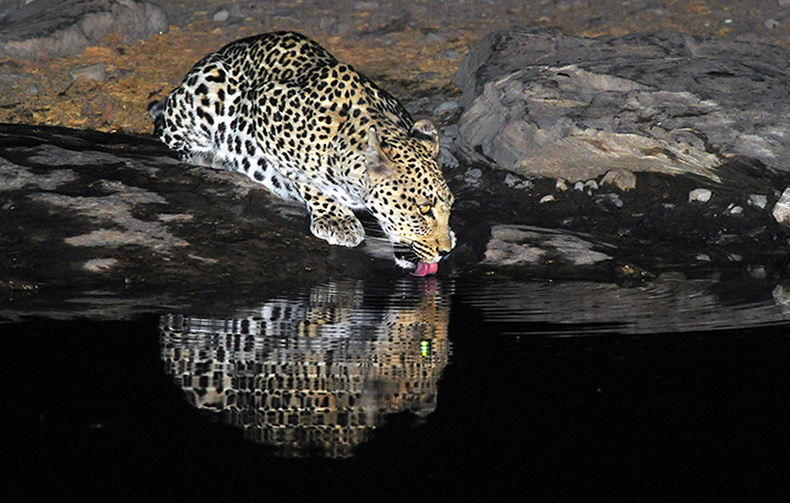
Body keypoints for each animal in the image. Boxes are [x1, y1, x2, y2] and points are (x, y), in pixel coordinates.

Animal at [149, 31, 455, 275]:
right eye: (423, 209)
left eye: (449, 207)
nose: (446, 252)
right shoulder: (264, 102)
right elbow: (305, 177)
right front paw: (336, 218)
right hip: (205, 90)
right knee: (166, 129)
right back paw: (211, 156)